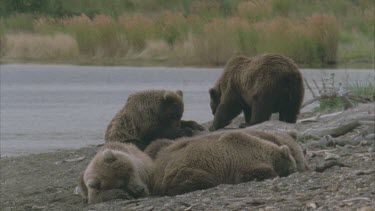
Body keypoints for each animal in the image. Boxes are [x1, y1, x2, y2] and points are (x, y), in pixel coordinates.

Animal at [151, 132, 298, 196]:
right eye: (293, 164)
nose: (295, 170)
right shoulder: (243, 162)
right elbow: (252, 172)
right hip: (185, 169)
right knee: (205, 179)